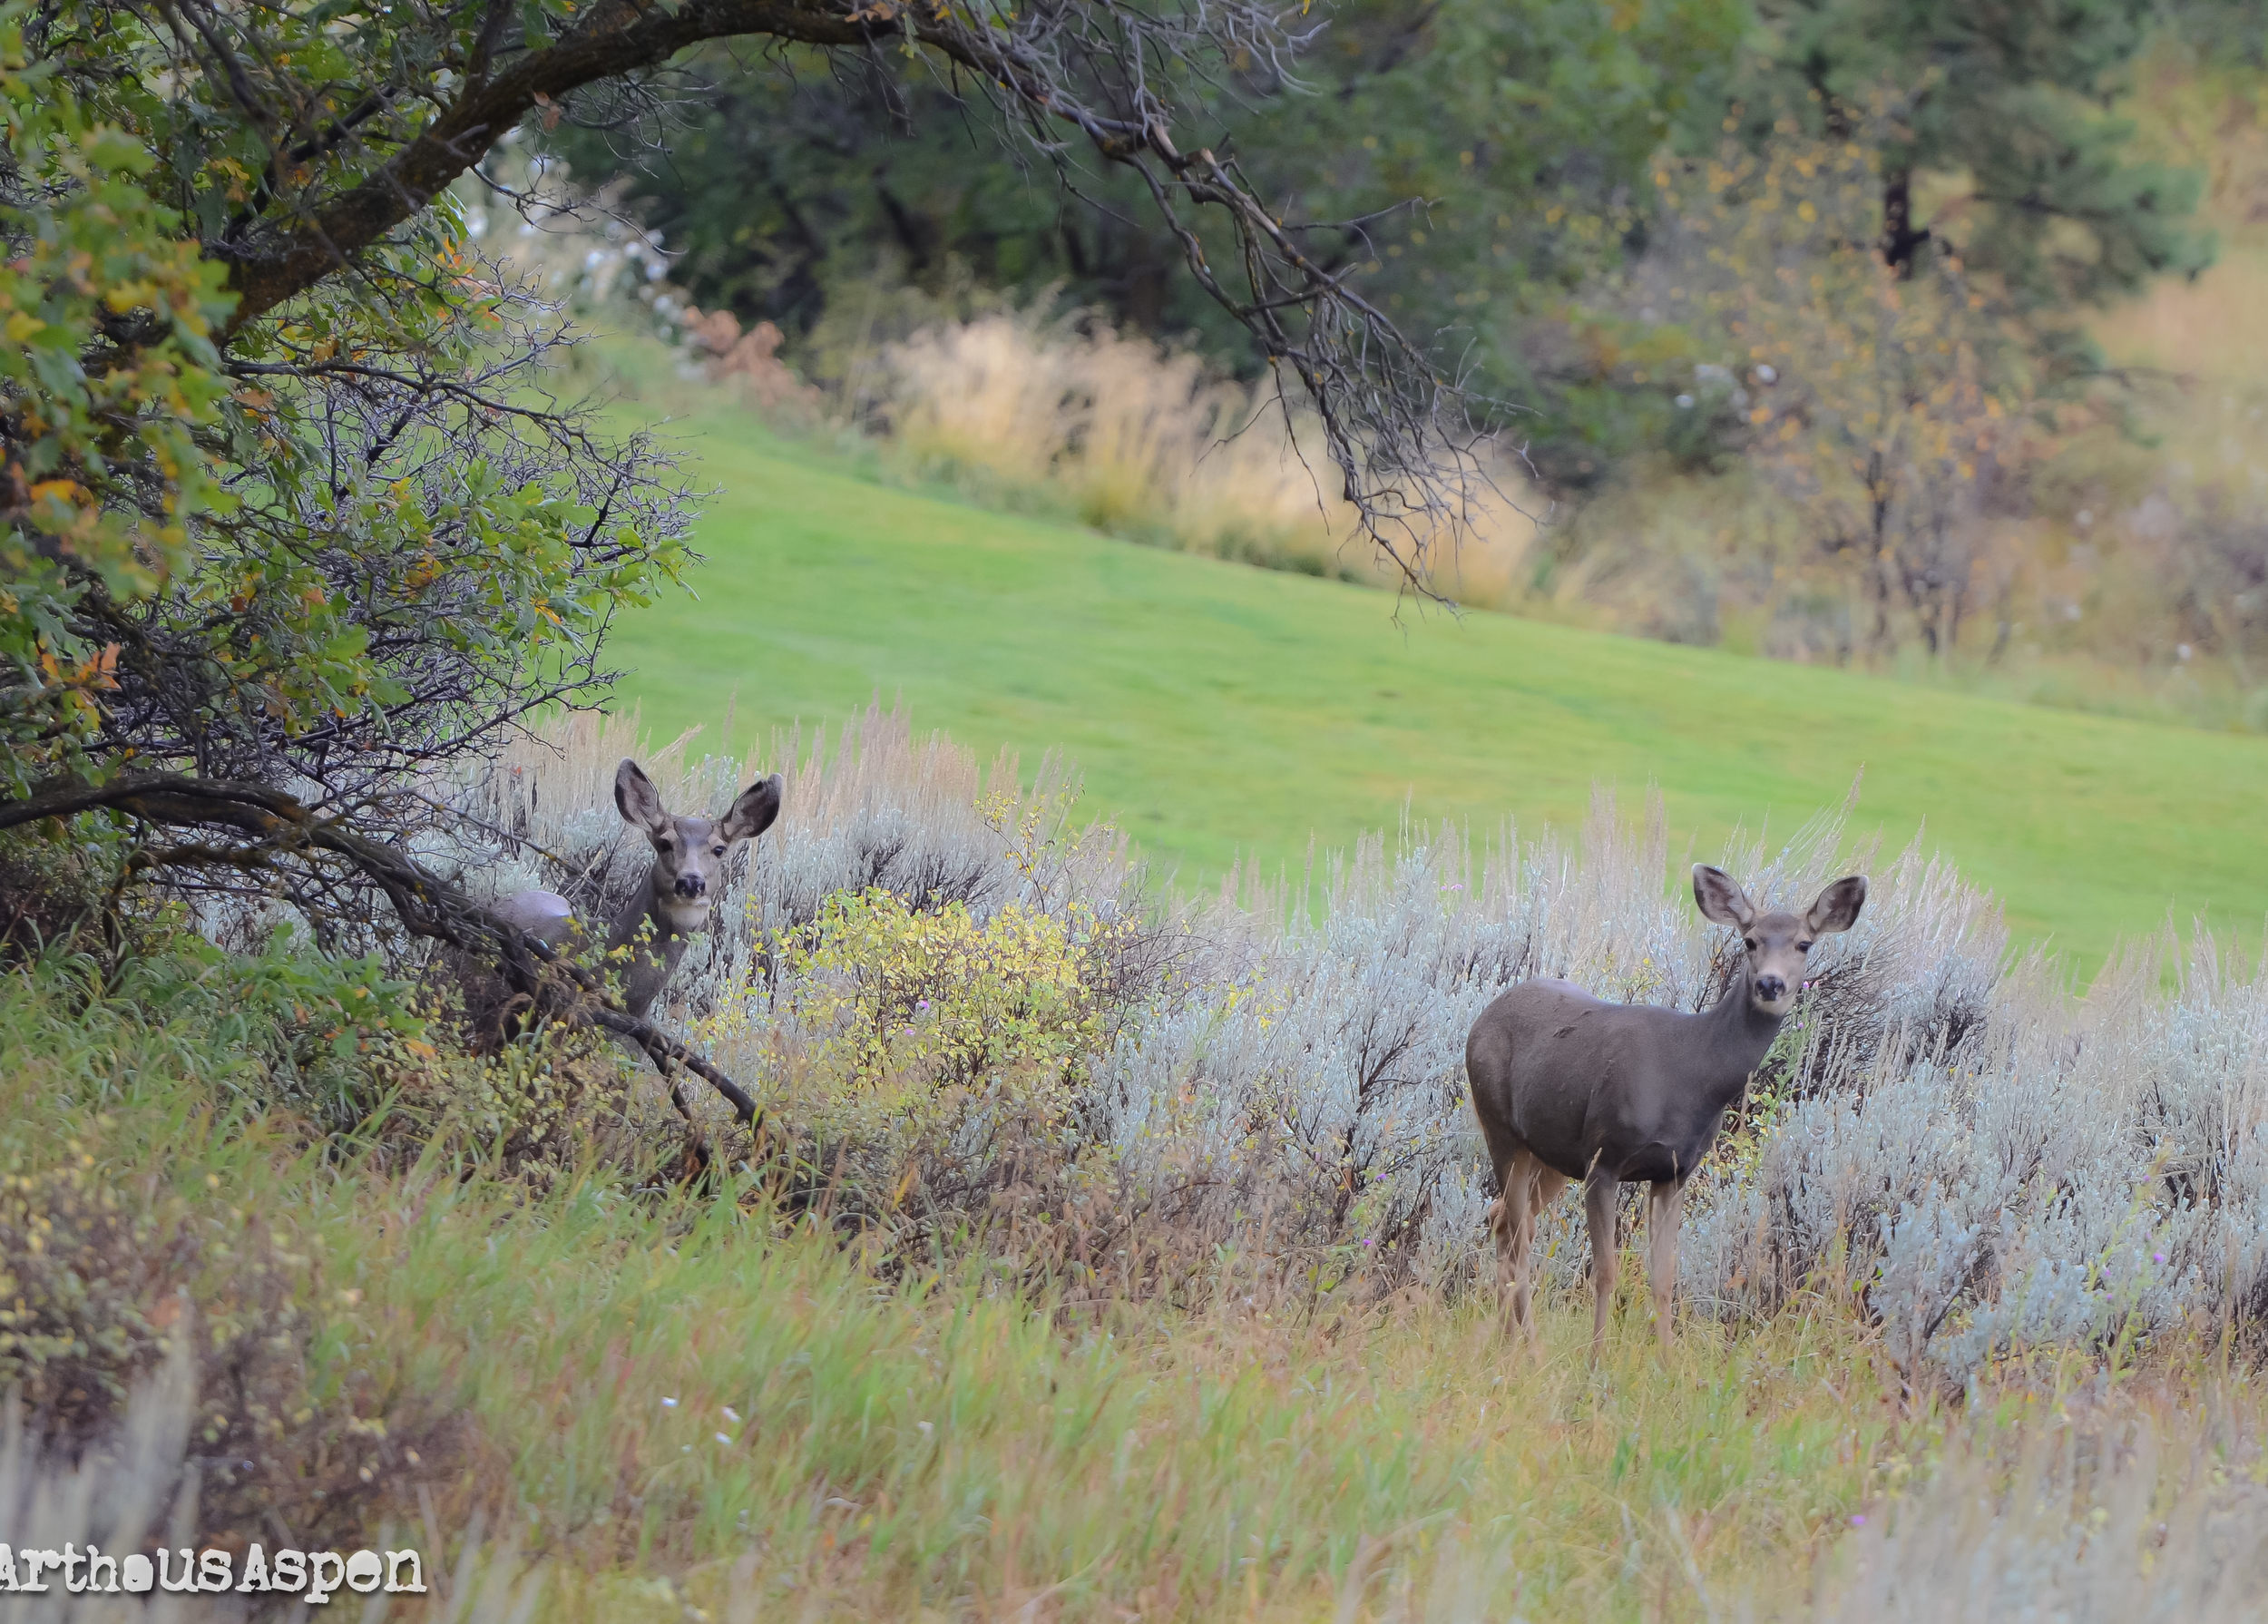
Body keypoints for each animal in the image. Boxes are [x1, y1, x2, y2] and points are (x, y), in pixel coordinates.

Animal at [1470, 862, 1860, 1361]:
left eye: (1804, 943)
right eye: (1749, 940)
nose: (1770, 984)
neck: (1690, 1073)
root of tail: (1481, 1019)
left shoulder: (1676, 1170)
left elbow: (1664, 1277)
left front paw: (1668, 1362)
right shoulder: (1603, 1155)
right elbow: (1607, 1271)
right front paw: (1597, 1363)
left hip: (1550, 1156)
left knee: (1503, 1220)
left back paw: (1510, 1343)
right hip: (1500, 1127)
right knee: (1517, 1238)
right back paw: (1531, 1349)